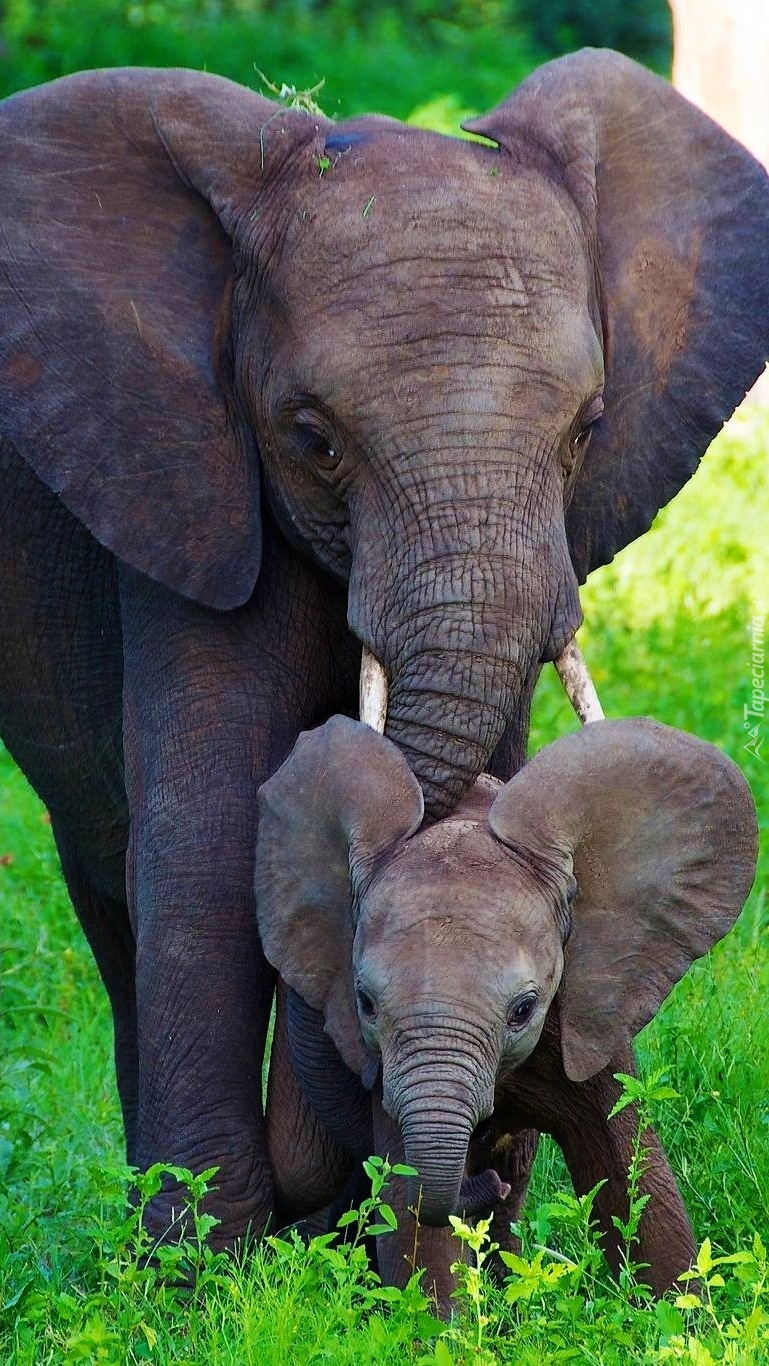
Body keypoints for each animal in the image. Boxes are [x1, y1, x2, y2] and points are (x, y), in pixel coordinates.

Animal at [256, 715, 759, 1300]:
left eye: (524, 1008)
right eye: (365, 1004)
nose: (485, 1182)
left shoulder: (587, 1009)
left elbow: (631, 1168)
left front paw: (678, 1313)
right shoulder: (384, 1070)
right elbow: (415, 1224)